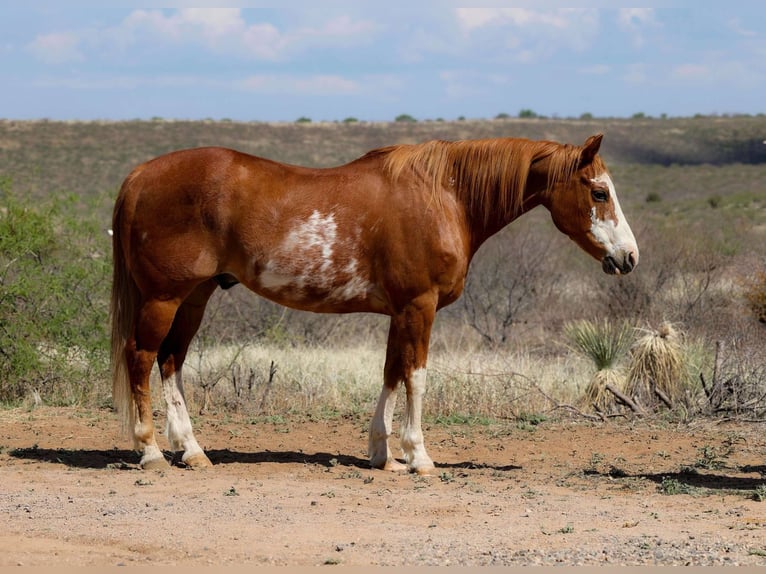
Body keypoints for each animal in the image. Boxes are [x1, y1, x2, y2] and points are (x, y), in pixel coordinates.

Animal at [110, 133, 638, 474]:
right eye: (599, 191)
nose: (629, 257)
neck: (444, 196)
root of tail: (139, 175)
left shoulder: (399, 312)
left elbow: (390, 374)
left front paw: (383, 453)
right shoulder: (419, 308)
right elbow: (416, 377)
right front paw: (419, 456)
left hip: (195, 297)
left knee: (171, 361)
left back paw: (193, 450)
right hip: (164, 298)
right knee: (141, 357)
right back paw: (150, 452)